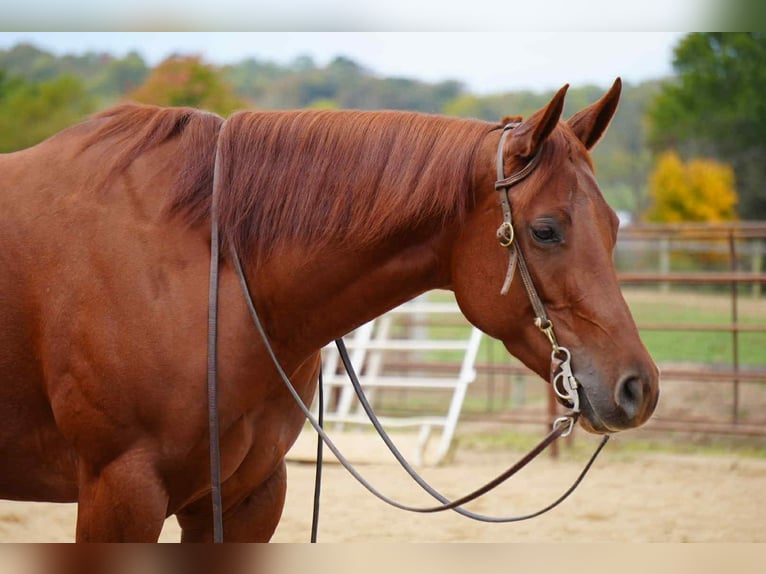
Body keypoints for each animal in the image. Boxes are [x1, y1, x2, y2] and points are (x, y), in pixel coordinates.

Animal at [0, 78, 659, 542]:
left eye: (612, 225)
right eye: (546, 230)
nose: (639, 387)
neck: (211, 272)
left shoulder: (246, 499)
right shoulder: (121, 494)